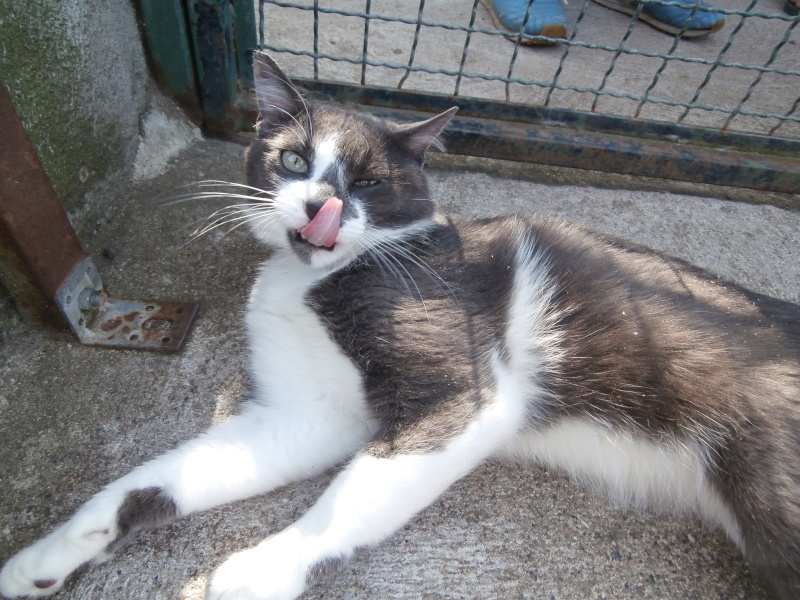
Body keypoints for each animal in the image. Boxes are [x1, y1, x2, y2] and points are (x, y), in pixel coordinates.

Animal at [1, 51, 800, 600]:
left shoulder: (468, 395)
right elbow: (162, 478)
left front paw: (260, 568)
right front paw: (49, 555)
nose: (320, 202)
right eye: (293, 158)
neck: (314, 280)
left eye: (368, 182)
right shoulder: (310, 413)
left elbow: (347, 499)